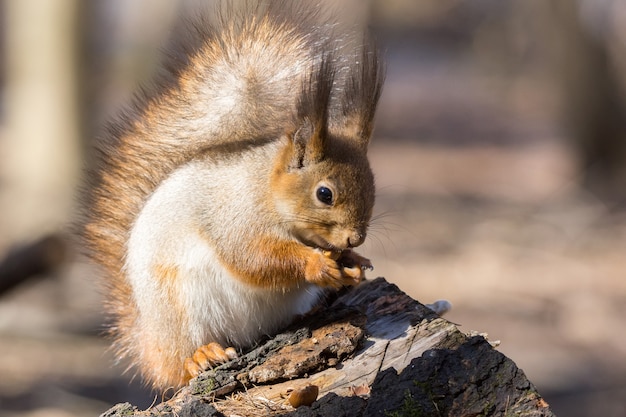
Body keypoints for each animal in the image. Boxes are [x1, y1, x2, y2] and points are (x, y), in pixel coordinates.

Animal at [82, 1, 382, 388]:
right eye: (324, 193)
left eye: (373, 187)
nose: (355, 238)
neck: (266, 190)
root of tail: (150, 341)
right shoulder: (235, 216)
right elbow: (252, 257)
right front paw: (316, 264)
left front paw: (355, 263)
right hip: (180, 308)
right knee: (180, 362)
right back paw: (200, 355)